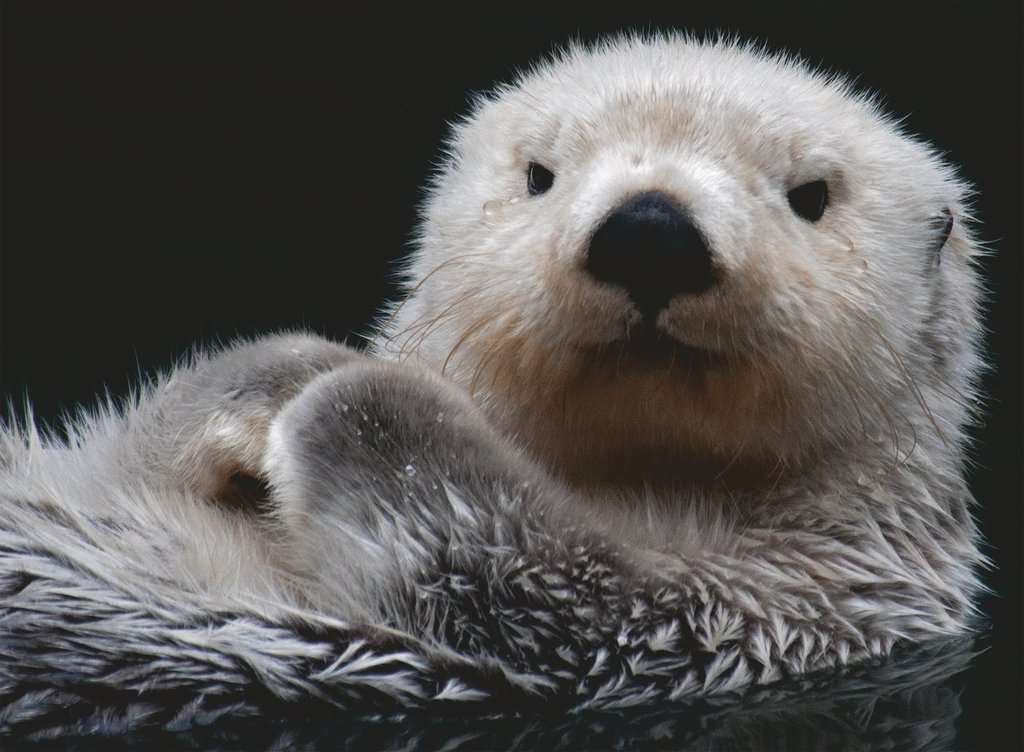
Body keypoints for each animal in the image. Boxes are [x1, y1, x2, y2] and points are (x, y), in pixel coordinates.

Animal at [0, 34, 985, 733]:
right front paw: (282, 376)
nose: (651, 231)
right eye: (540, 174)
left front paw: (350, 395)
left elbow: (527, 570)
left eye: (812, 194)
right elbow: (132, 448)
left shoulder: (771, 610)